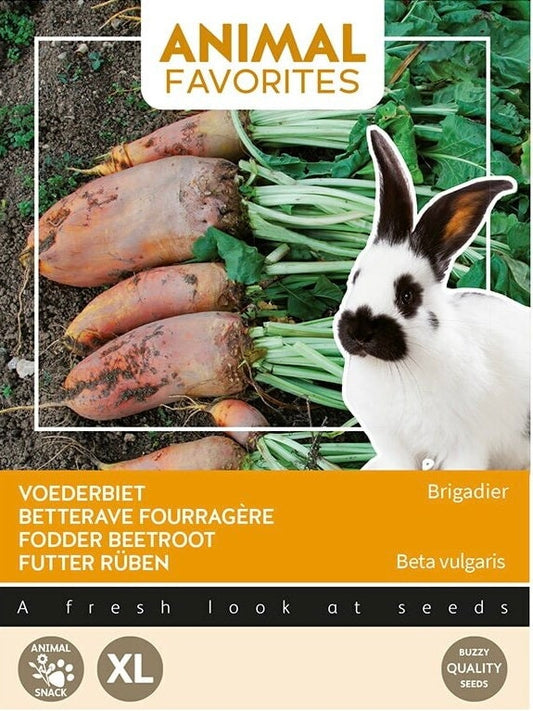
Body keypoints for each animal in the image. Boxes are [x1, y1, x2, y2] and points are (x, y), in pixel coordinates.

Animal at [333, 125, 530, 471]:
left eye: (407, 295)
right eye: (355, 277)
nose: (359, 332)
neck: (399, 369)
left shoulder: (466, 446)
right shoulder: (392, 444)